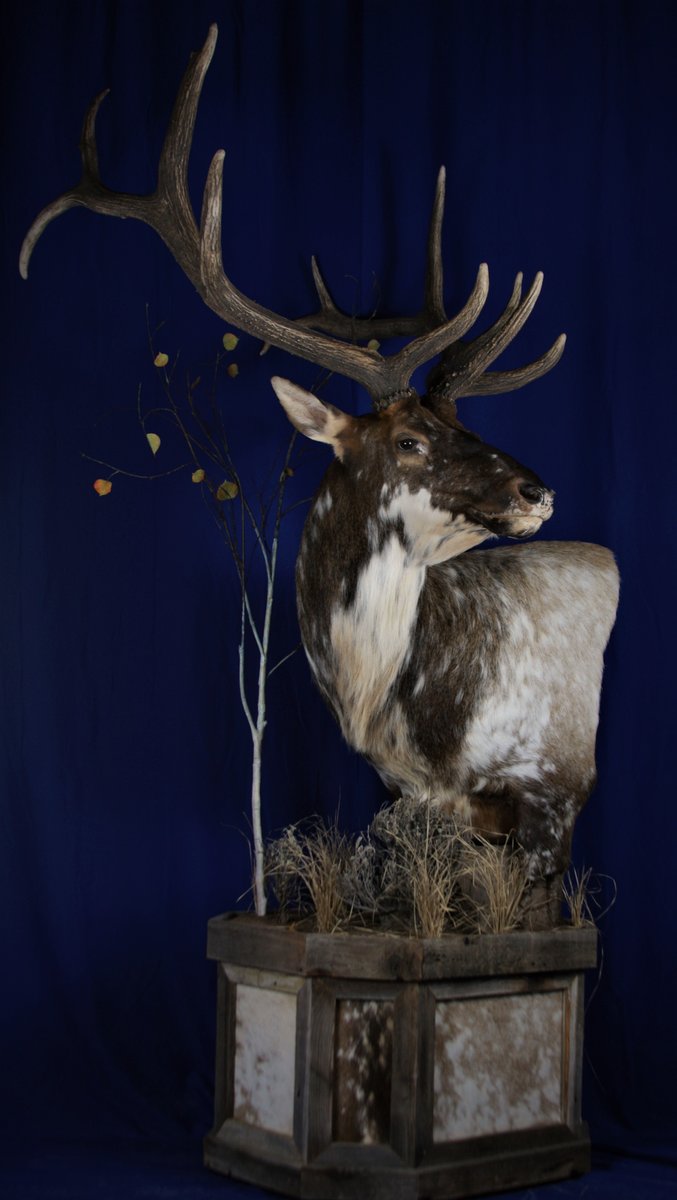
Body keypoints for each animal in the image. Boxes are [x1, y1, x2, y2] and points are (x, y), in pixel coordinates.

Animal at [20, 25, 619, 925]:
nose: (535, 490)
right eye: (409, 440)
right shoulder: (425, 799)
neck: (410, 720)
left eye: (462, 424)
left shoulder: (556, 781)